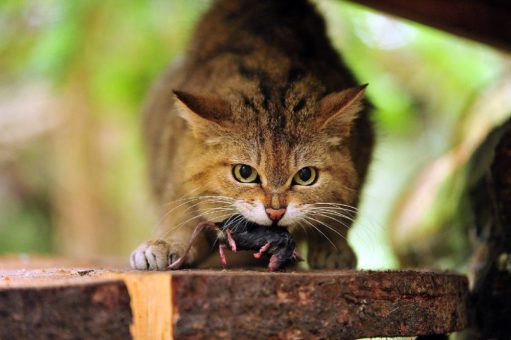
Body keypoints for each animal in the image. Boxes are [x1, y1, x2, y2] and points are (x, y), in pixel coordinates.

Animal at [130, 0, 374, 270]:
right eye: (244, 173)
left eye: (306, 176)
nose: (276, 212)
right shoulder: (175, 168)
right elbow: (179, 213)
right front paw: (169, 244)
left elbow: (341, 212)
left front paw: (333, 246)